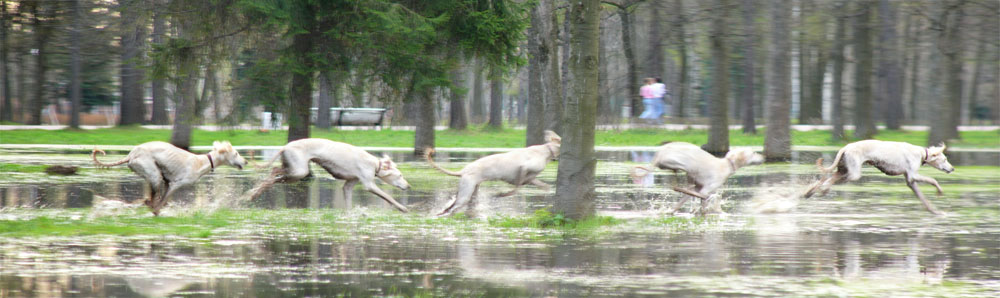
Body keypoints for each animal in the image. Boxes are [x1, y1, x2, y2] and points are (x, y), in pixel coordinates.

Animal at [91, 141, 247, 215]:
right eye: (236, 153)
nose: (246, 162)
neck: (201, 162)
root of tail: (131, 155)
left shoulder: (167, 182)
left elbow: (163, 200)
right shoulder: (175, 184)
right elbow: (161, 203)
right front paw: (156, 211)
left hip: (153, 175)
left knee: (150, 197)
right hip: (153, 173)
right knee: (151, 199)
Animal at [250, 138, 410, 212]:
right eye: (400, 175)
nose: (408, 186)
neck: (374, 164)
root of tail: (286, 146)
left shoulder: (349, 184)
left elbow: (348, 201)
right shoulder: (369, 185)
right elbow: (388, 197)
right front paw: (403, 208)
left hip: (294, 168)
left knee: (274, 172)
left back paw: (254, 193)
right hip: (299, 171)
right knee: (275, 174)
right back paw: (254, 193)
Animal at [632, 142, 764, 214]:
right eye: (753, 153)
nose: (764, 157)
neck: (727, 164)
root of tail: (660, 153)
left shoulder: (698, 188)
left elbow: (683, 201)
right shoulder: (706, 189)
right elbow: (704, 202)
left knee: (682, 187)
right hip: (684, 163)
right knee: (679, 184)